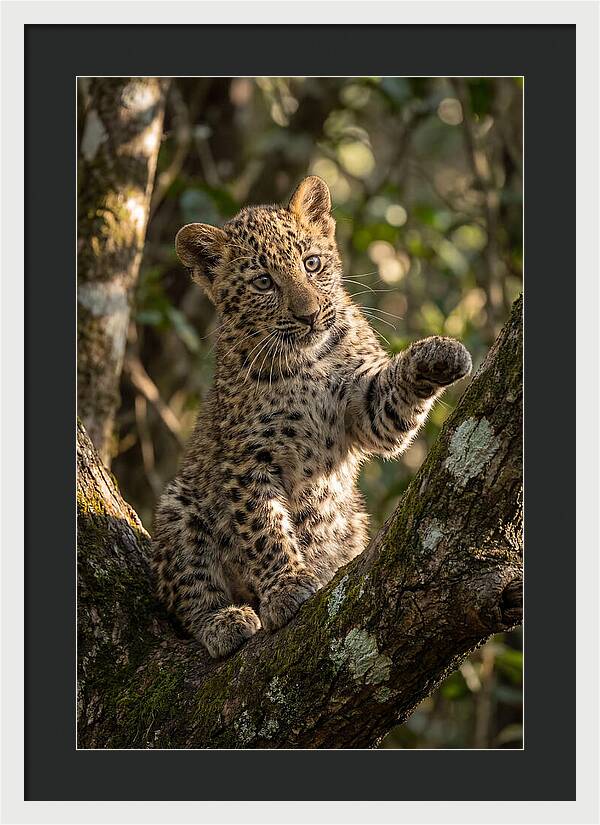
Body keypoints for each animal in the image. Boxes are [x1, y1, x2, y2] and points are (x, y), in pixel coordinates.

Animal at [152, 175, 472, 658]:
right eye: (263, 282)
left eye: (312, 263)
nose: (309, 315)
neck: (307, 362)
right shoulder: (248, 460)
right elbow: (263, 528)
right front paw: (286, 587)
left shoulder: (364, 409)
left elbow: (390, 401)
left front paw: (439, 353)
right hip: (180, 506)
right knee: (188, 593)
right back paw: (224, 621)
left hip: (352, 521)